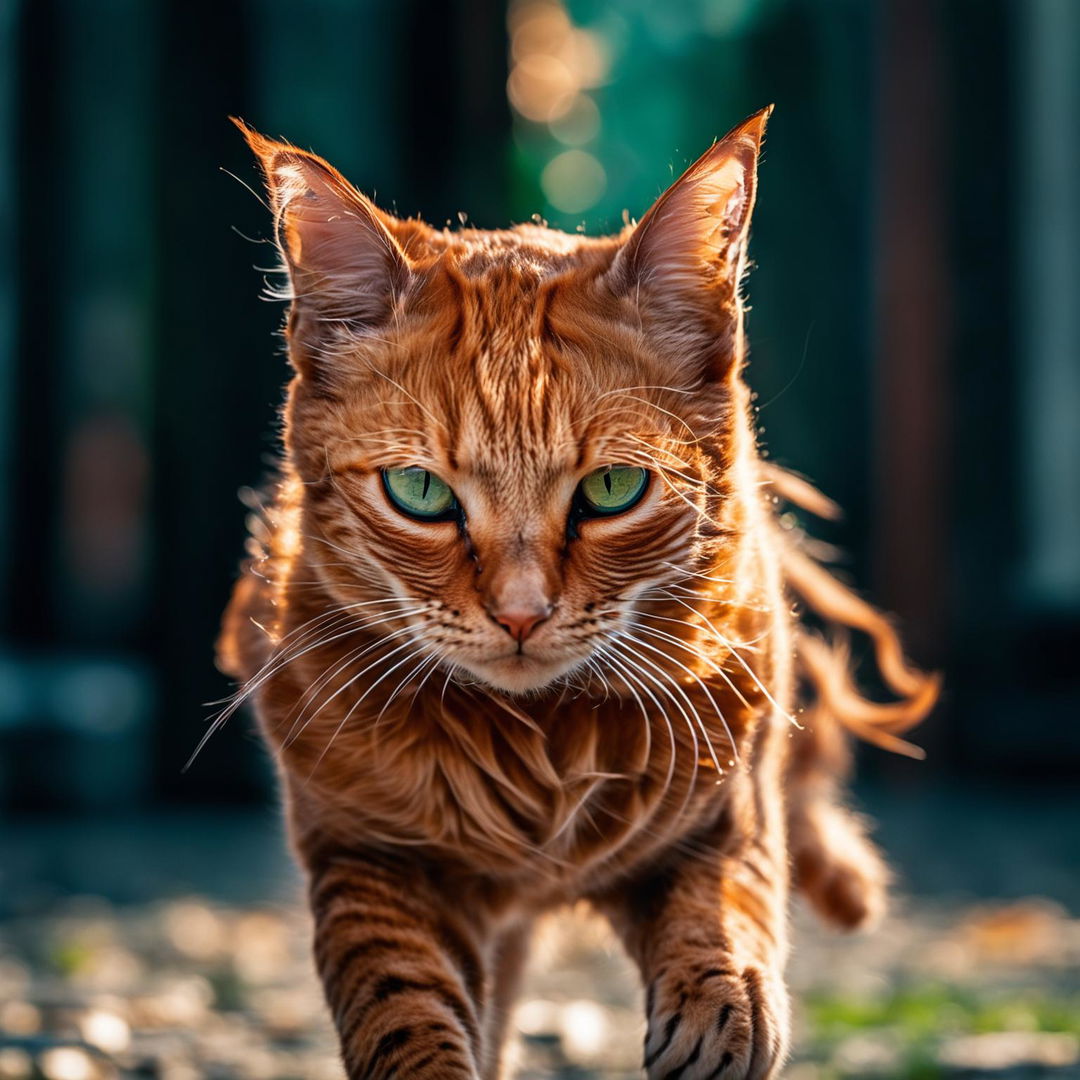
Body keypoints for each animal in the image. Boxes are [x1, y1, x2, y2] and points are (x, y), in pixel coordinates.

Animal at [217, 111, 937, 1080]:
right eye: (419, 492)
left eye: (611, 490)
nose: (522, 613)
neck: (539, 751)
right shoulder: (366, 855)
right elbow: (402, 1005)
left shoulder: (722, 820)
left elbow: (727, 922)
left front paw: (722, 1018)